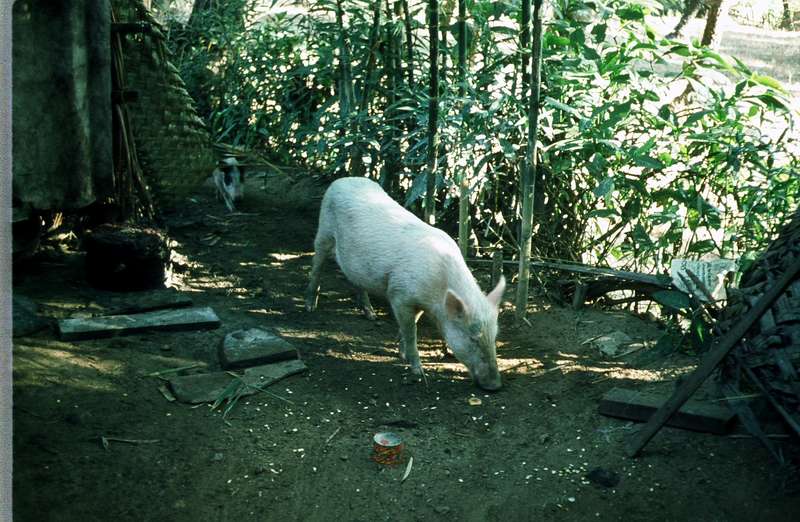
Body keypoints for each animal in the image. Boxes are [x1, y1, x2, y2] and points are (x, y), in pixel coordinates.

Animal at [305, 177, 506, 390]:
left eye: (494, 337)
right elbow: (411, 331)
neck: (437, 291)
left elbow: (411, 324)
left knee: (356, 280)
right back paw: (310, 307)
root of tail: (342, 180)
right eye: (472, 339)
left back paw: (371, 315)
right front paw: (417, 371)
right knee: (317, 265)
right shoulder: (399, 294)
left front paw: (401, 354)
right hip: (323, 231)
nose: (495, 386)